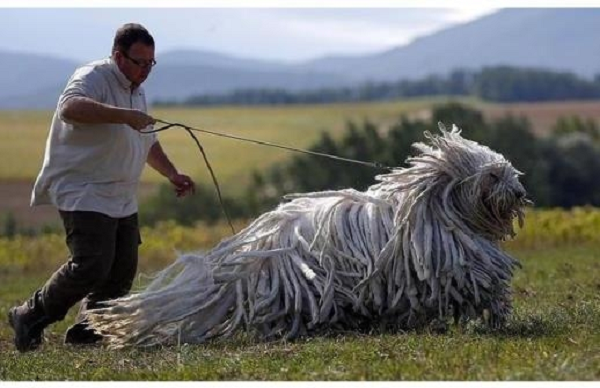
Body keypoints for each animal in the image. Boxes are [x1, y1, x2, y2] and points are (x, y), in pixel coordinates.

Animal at [88, 125, 528, 348]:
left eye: (508, 170)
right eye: (493, 175)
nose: (520, 192)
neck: (435, 205)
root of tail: (249, 250)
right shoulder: (454, 262)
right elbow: (482, 282)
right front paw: (498, 313)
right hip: (300, 284)